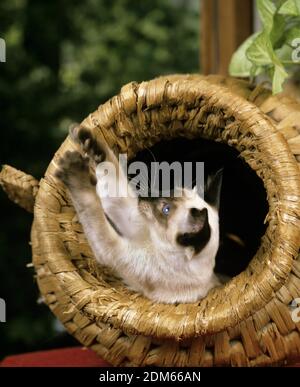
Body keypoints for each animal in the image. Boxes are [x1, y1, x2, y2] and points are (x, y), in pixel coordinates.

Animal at [54, 126, 223, 304]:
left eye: (166, 209)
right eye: (170, 191)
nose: (146, 197)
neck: (154, 242)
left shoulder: (113, 249)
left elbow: (91, 205)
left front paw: (73, 170)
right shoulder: (134, 221)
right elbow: (113, 177)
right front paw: (88, 140)